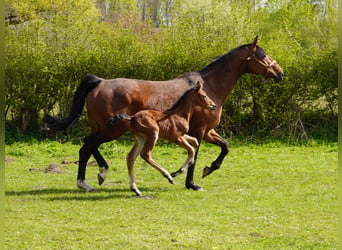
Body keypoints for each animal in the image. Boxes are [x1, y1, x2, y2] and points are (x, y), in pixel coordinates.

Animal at [43, 35, 284, 191]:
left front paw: (208, 169)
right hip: (113, 129)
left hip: (103, 127)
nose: (280, 73)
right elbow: (194, 154)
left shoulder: (208, 131)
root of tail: (99, 82)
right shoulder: (199, 130)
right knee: (88, 145)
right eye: (263, 55)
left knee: (88, 146)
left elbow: (225, 147)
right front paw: (189, 182)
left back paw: (94, 177)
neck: (209, 87)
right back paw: (93, 178)